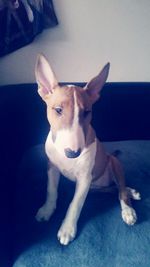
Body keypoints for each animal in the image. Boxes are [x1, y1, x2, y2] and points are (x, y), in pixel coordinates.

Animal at [35, 54, 141, 247]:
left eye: (87, 112)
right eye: (58, 110)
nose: (73, 153)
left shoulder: (84, 178)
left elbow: (75, 204)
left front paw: (67, 230)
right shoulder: (51, 167)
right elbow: (51, 190)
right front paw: (47, 210)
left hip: (114, 163)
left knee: (121, 189)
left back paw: (128, 209)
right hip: (95, 186)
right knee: (113, 189)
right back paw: (131, 191)